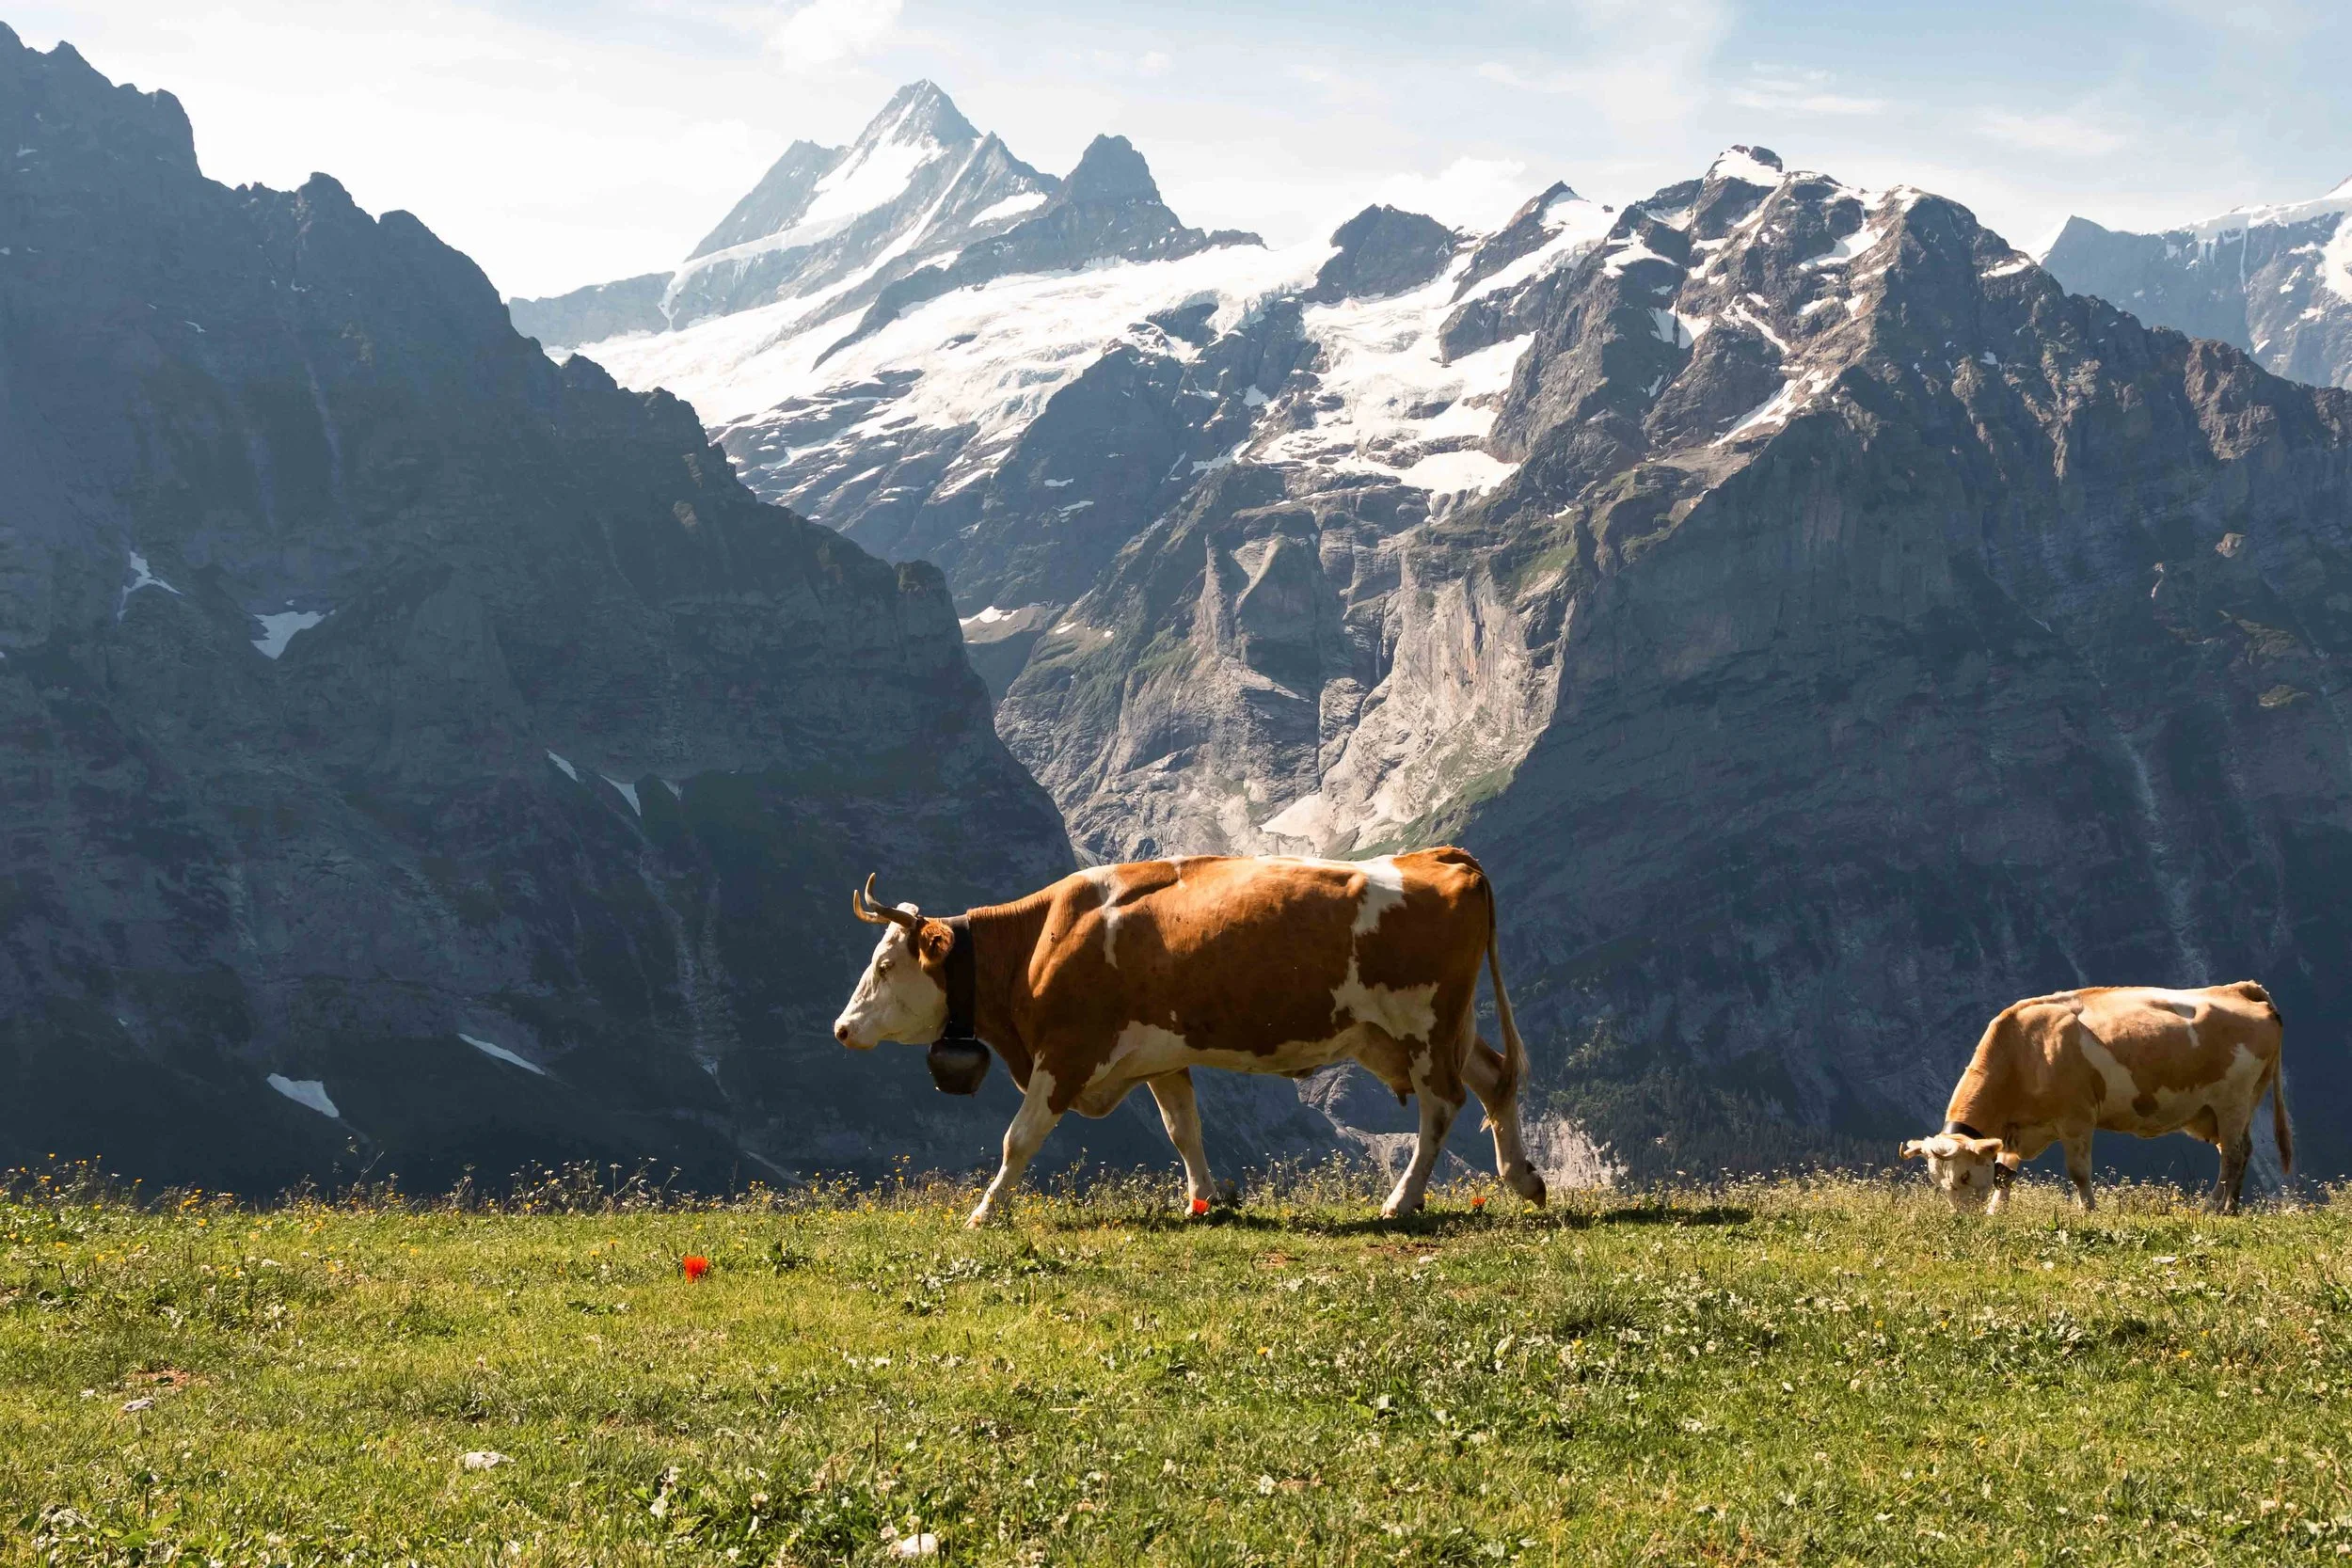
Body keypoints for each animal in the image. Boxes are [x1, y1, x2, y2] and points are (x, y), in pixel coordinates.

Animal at [831, 849, 1548, 1227]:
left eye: (886, 965)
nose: (841, 1028)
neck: (1040, 942)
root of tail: (1437, 856)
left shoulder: (1066, 1052)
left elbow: (1020, 1137)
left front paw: (985, 1210)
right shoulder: (1158, 1058)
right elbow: (1185, 1129)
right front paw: (1206, 1199)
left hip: (1423, 1026)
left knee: (1443, 1105)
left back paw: (1401, 1200)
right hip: (1421, 1031)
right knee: (1494, 1079)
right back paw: (1522, 1177)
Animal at [1901, 982, 2290, 1215]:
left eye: (1965, 1176)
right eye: (1936, 1181)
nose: (1963, 1219)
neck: (2023, 1050)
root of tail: (2237, 988)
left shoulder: (2076, 1118)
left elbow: (2078, 1172)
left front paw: (2088, 1210)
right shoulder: (2020, 1130)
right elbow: (2005, 1173)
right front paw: (1997, 1211)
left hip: (2233, 1101)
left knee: (2233, 1155)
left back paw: (2212, 1207)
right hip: (2231, 1107)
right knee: (2239, 1151)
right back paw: (2231, 1208)